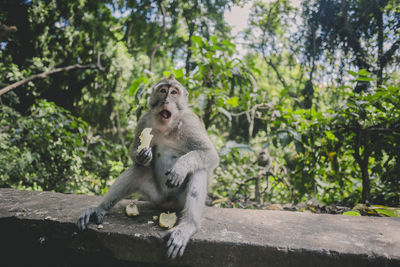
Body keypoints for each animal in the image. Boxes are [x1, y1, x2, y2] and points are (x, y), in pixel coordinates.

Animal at [75, 75, 219, 260]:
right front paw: (142, 155)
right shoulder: (145, 119)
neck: (167, 126)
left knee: (198, 170)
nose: (166, 100)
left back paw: (187, 226)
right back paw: (100, 208)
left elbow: (210, 153)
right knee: (139, 169)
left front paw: (180, 167)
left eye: (174, 92)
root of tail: (168, 205)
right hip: (156, 197)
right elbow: (135, 151)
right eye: (163, 90)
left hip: (180, 202)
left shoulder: (190, 122)